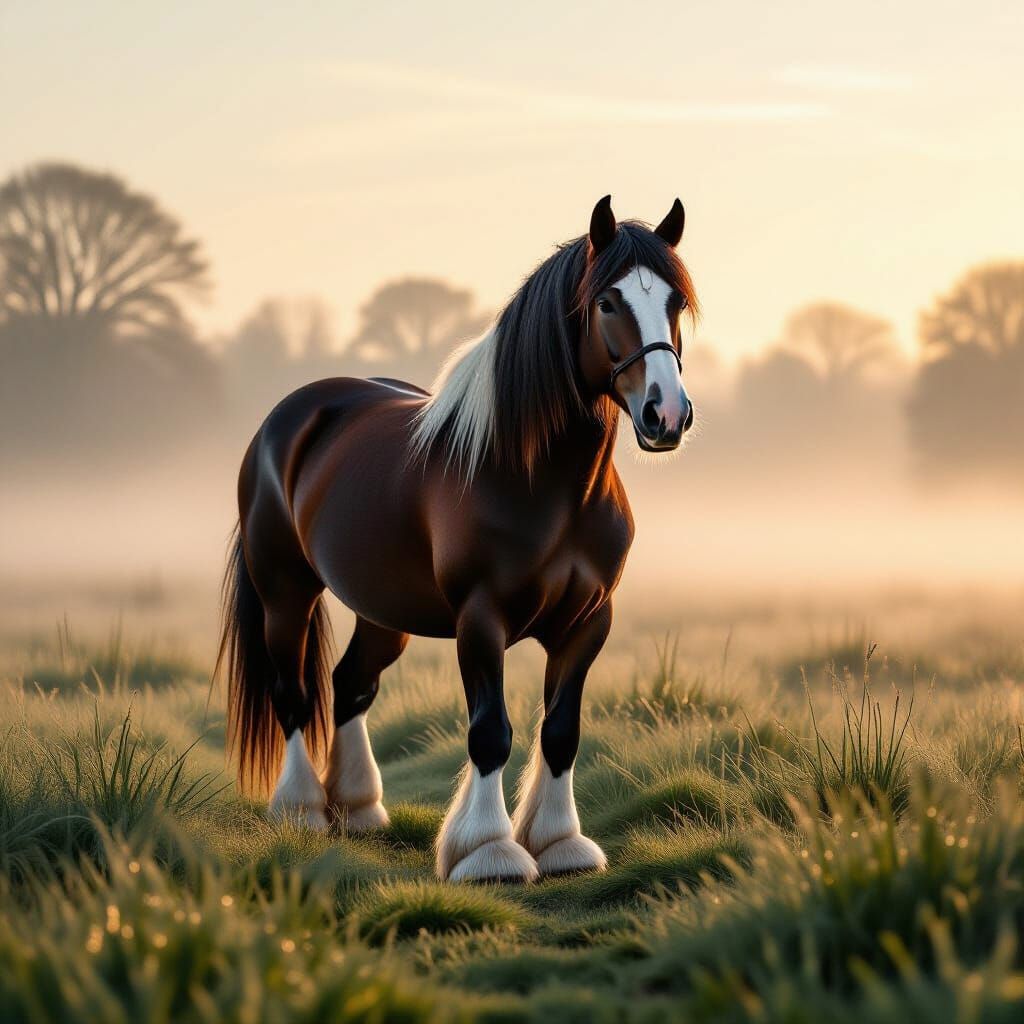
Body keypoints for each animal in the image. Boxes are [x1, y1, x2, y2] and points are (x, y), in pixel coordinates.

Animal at [216, 195, 698, 883]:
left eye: (675, 301)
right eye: (607, 301)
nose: (667, 414)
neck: (539, 480)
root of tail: (288, 419)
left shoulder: (589, 621)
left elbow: (561, 731)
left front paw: (559, 844)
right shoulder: (481, 618)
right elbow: (489, 732)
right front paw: (488, 851)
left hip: (382, 610)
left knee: (350, 685)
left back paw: (358, 808)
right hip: (285, 593)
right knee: (294, 694)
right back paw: (303, 810)